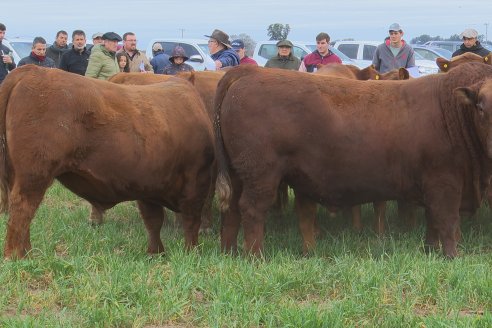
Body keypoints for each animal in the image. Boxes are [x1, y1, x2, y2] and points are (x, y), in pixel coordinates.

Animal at [0, 64, 215, 258]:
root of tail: (33, 70)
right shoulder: (196, 181)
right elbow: (191, 220)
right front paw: (192, 252)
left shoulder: (148, 186)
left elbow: (153, 221)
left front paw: (156, 254)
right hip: (34, 174)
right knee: (22, 208)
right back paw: (17, 256)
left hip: (18, 175)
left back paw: (28, 252)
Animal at [216, 63, 492, 258]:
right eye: (480, 107)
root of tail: (249, 72)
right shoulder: (444, 181)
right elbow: (447, 221)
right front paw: (452, 256)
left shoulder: (435, 186)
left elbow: (434, 222)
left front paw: (431, 250)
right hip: (261, 174)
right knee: (252, 209)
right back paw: (255, 257)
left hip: (239, 174)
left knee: (232, 211)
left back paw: (230, 252)